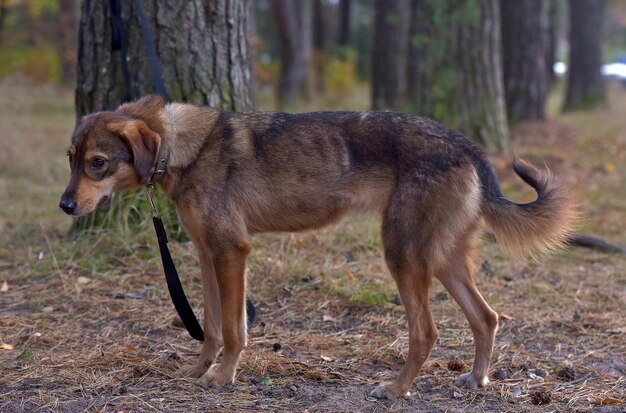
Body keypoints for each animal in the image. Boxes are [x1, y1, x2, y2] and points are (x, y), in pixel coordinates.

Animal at [59, 95, 576, 398]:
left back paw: (395, 389)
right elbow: (209, 327)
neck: (186, 146)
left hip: (403, 256)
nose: (64, 205)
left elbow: (234, 330)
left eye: (98, 163)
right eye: (72, 160)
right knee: (486, 317)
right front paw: (198, 372)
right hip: (443, 260)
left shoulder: (231, 252)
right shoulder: (207, 254)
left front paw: (223, 379)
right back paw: (476, 380)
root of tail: (465, 145)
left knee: (426, 333)